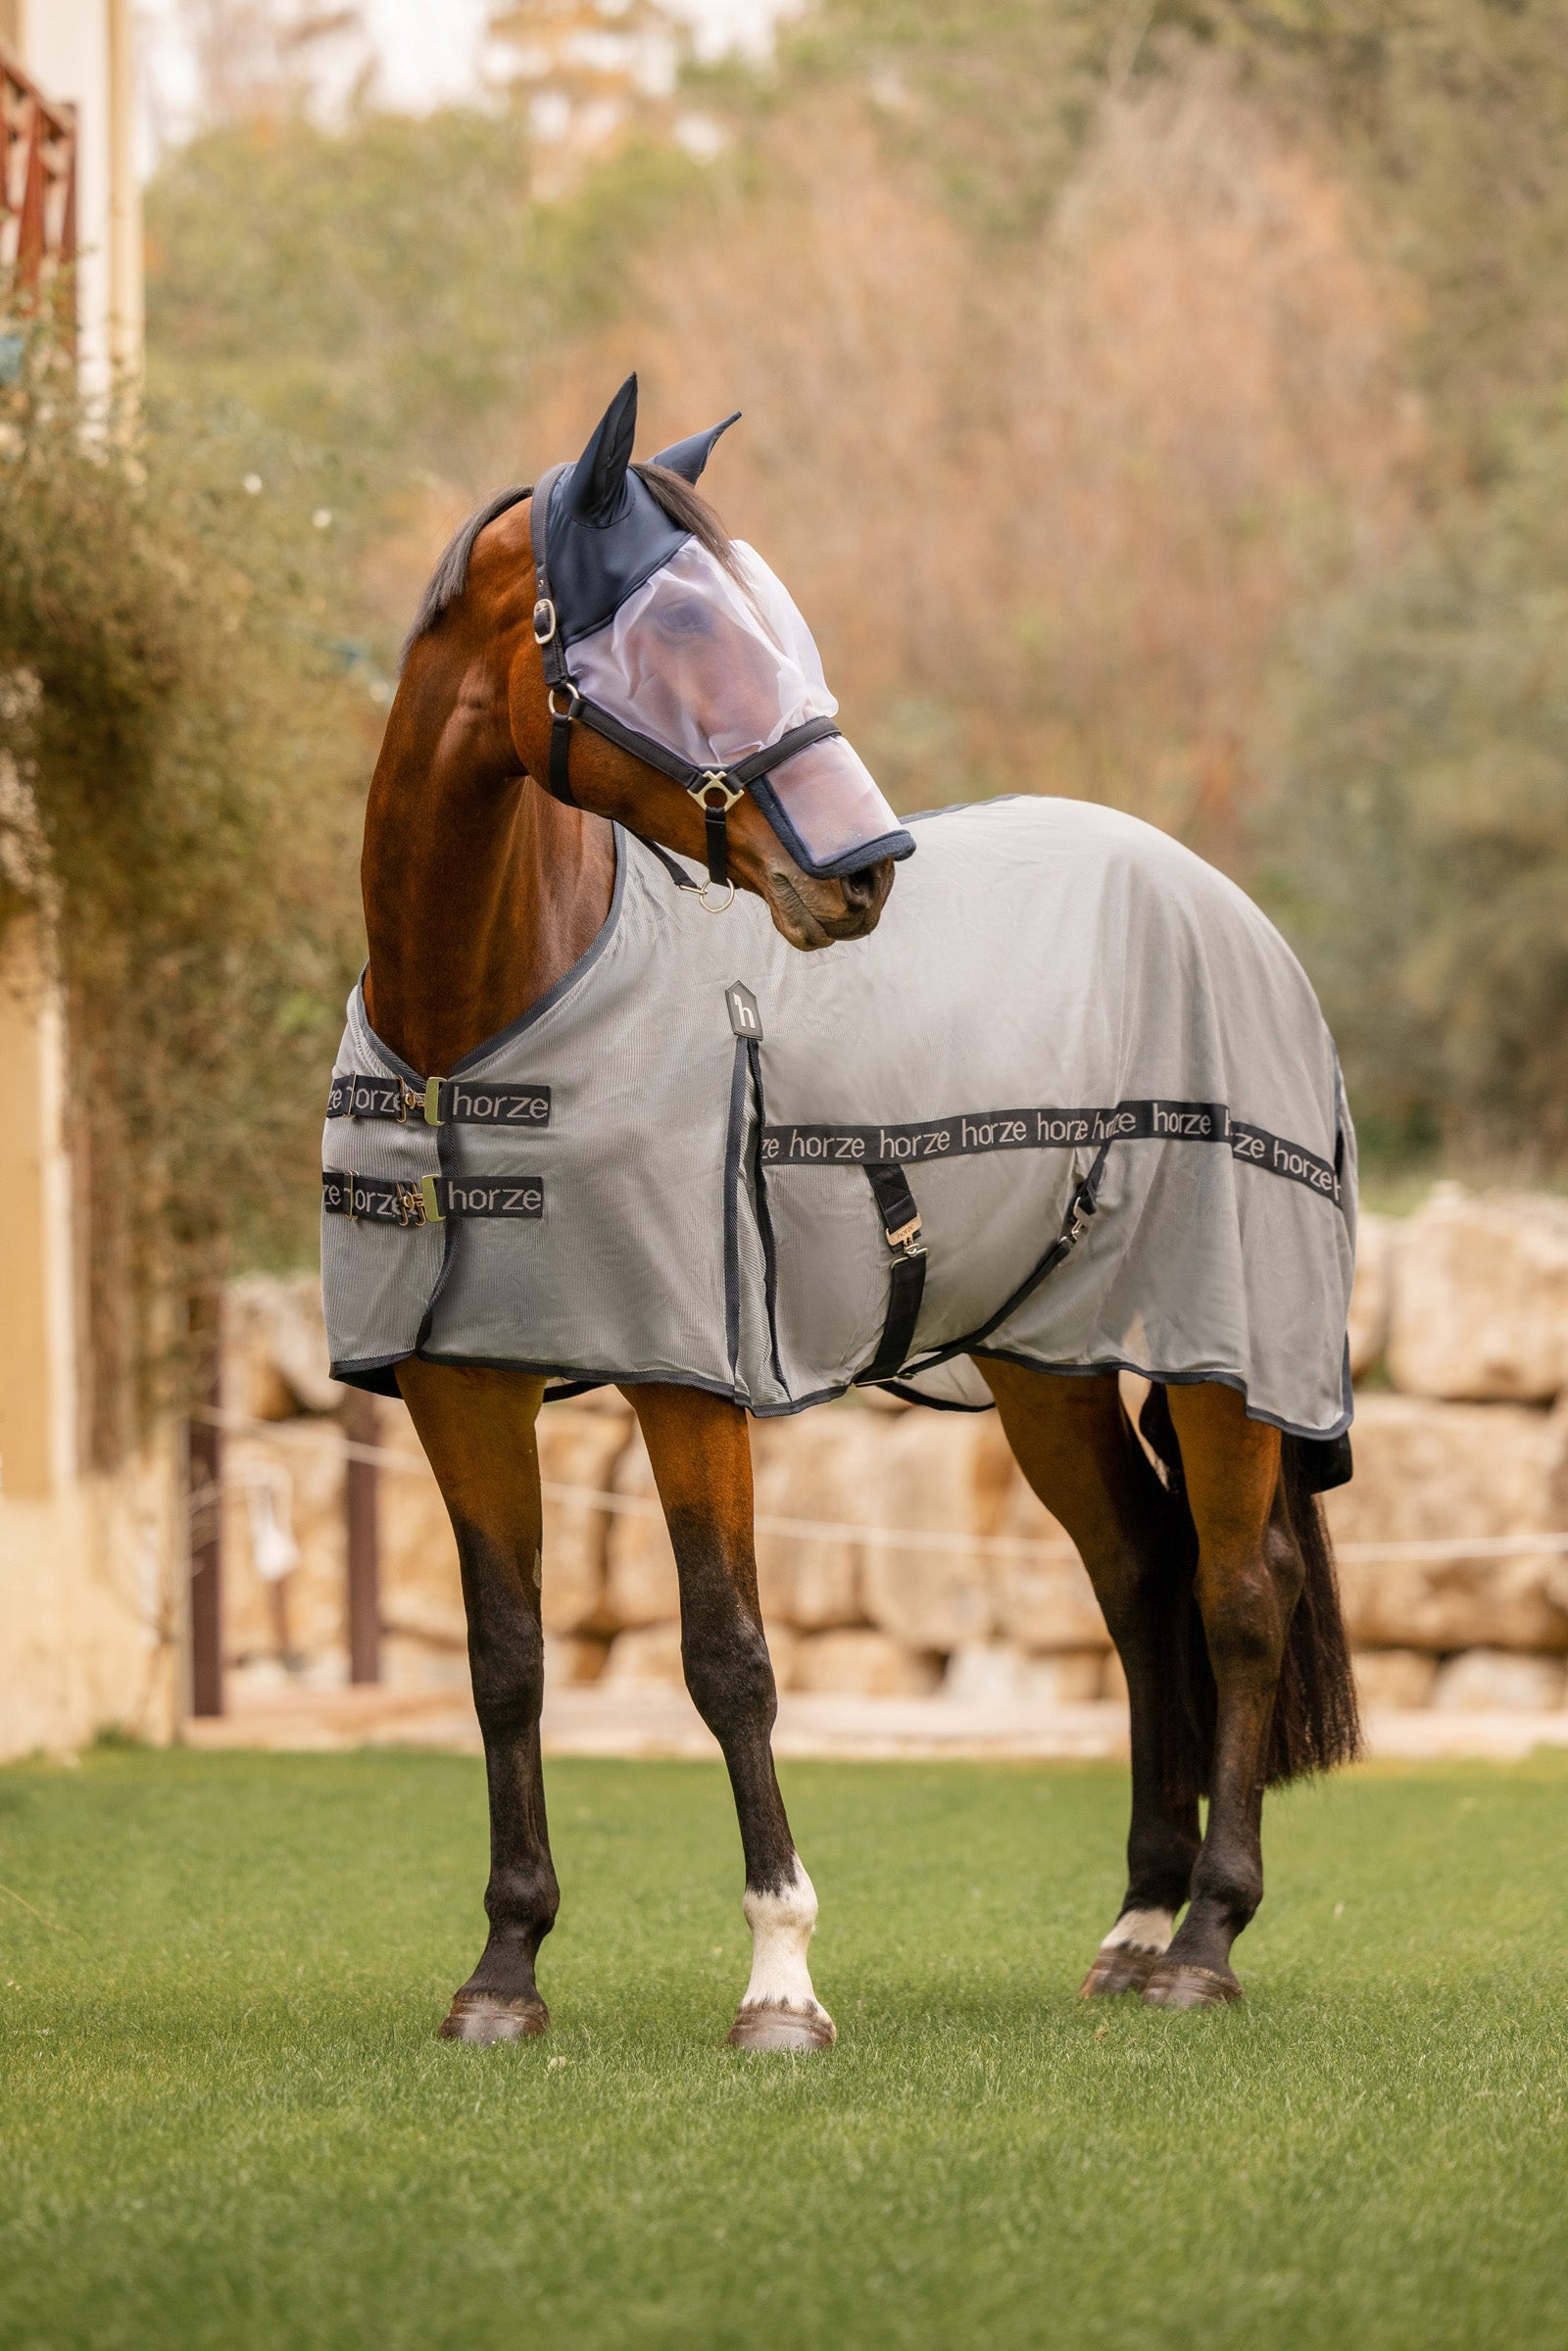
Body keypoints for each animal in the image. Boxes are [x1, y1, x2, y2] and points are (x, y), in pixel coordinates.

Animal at [339, 378, 1360, 2048]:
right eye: (681, 631)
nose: (867, 872)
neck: (483, 1025)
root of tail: (1217, 899)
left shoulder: (688, 1381)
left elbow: (728, 1653)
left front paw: (780, 1977)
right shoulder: (457, 1384)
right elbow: (504, 1659)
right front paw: (503, 1969)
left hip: (1228, 1353)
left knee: (1238, 1591)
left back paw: (1205, 1938)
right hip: (1049, 1361)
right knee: (1141, 1579)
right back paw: (1138, 1922)